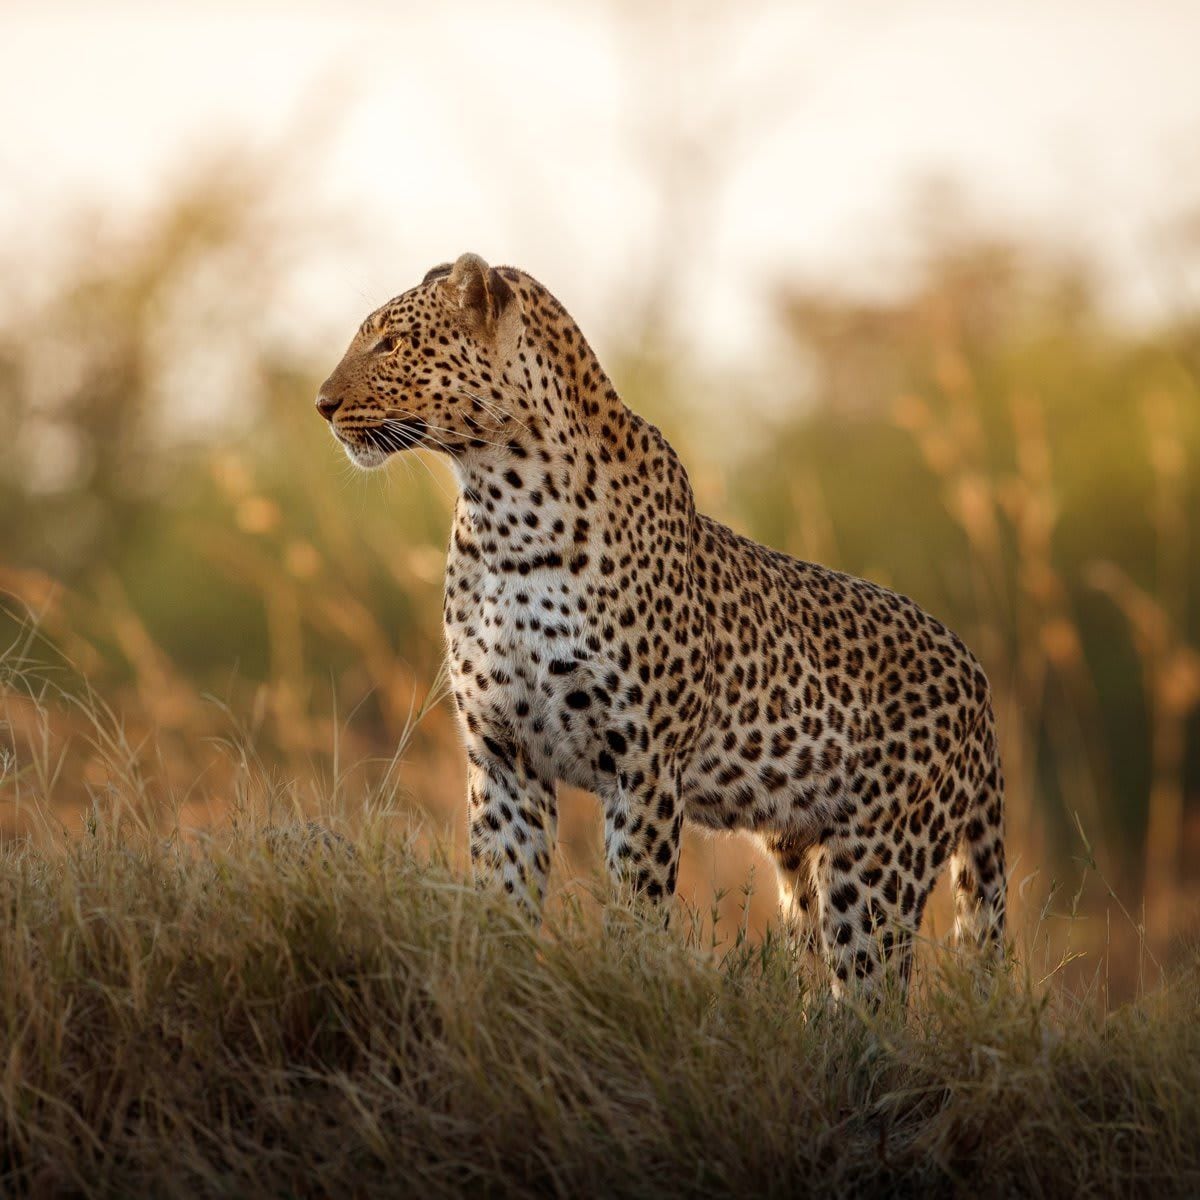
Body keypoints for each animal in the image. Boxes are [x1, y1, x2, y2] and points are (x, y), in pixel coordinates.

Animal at [316, 250, 1003, 993]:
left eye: (390, 344)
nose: (322, 404)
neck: (503, 510)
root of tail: (977, 676)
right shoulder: (503, 755)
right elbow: (502, 899)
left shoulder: (642, 764)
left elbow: (636, 910)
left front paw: (624, 987)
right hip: (801, 857)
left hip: (878, 864)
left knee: (874, 994)